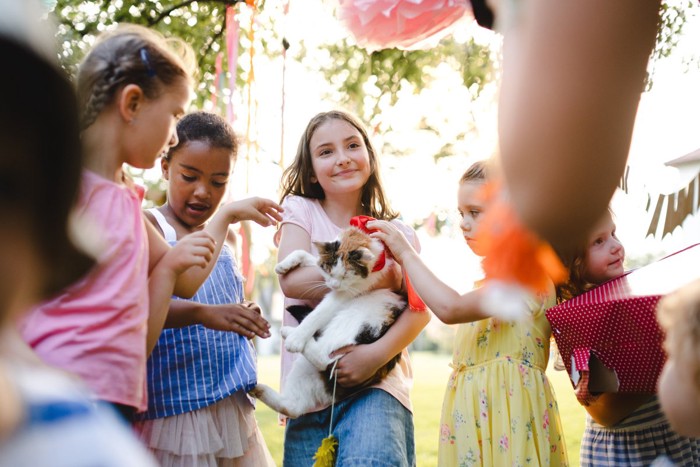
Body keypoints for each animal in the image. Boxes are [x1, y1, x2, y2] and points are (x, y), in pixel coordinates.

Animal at [250, 227, 404, 420]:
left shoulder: (347, 292)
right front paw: (284, 265)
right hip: (304, 369)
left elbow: (317, 314)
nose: (333, 285)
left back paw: (289, 333)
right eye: (329, 271)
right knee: (291, 408)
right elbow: (308, 256)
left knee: (324, 358)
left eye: (346, 275)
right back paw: (258, 389)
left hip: (359, 317)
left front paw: (298, 337)